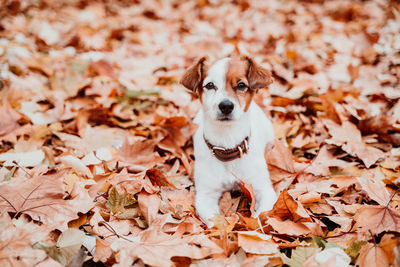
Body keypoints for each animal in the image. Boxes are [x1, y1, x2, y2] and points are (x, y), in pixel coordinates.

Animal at [181, 56, 278, 228]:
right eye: (210, 85)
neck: (227, 144)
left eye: (241, 85)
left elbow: (260, 217)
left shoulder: (264, 189)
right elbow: (215, 221)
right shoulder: (205, 195)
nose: (226, 105)